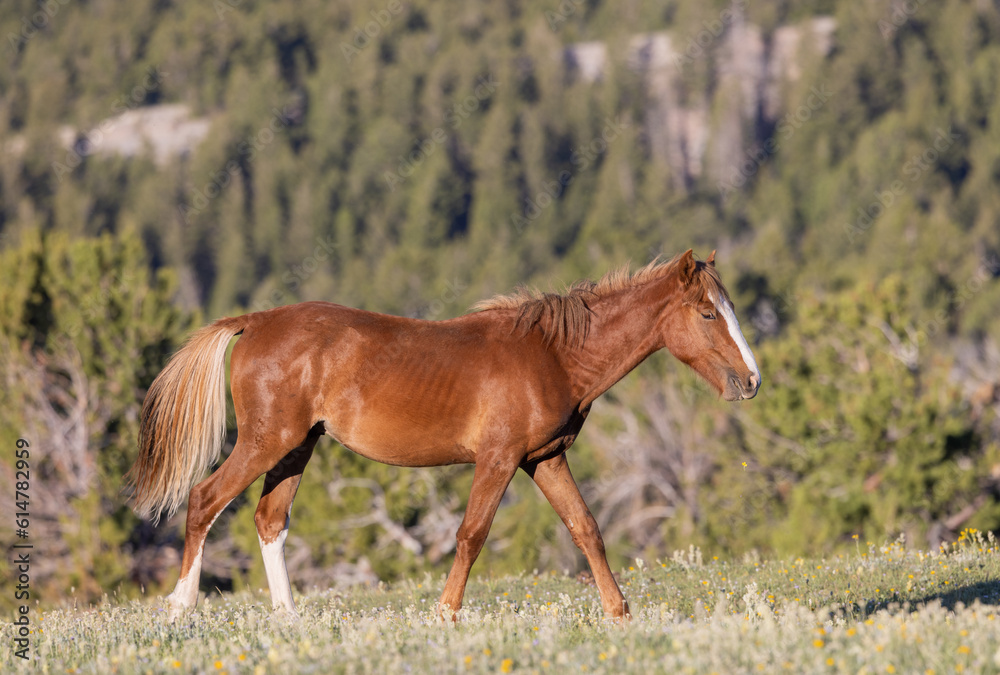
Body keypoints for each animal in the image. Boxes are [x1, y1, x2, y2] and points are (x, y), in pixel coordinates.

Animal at [125, 249, 760, 622]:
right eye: (708, 314)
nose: (752, 380)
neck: (553, 355)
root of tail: (255, 322)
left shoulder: (544, 460)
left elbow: (587, 529)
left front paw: (620, 614)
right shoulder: (499, 459)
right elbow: (471, 535)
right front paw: (447, 614)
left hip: (296, 445)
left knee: (269, 519)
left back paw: (288, 617)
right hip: (265, 441)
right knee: (205, 500)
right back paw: (180, 608)